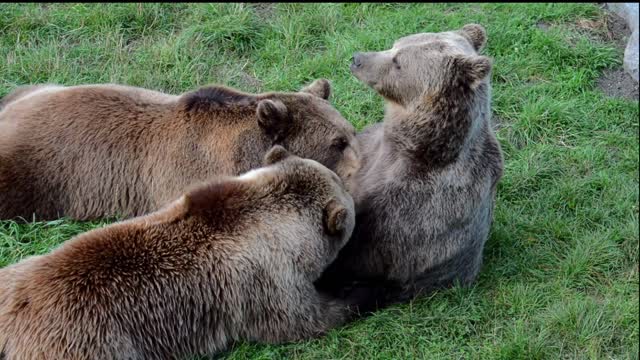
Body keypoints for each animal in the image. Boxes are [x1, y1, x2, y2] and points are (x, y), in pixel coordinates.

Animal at [0, 146, 364, 360]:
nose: (352, 191)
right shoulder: (264, 282)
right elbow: (305, 319)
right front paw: (359, 293)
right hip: (90, 343)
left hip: (14, 274)